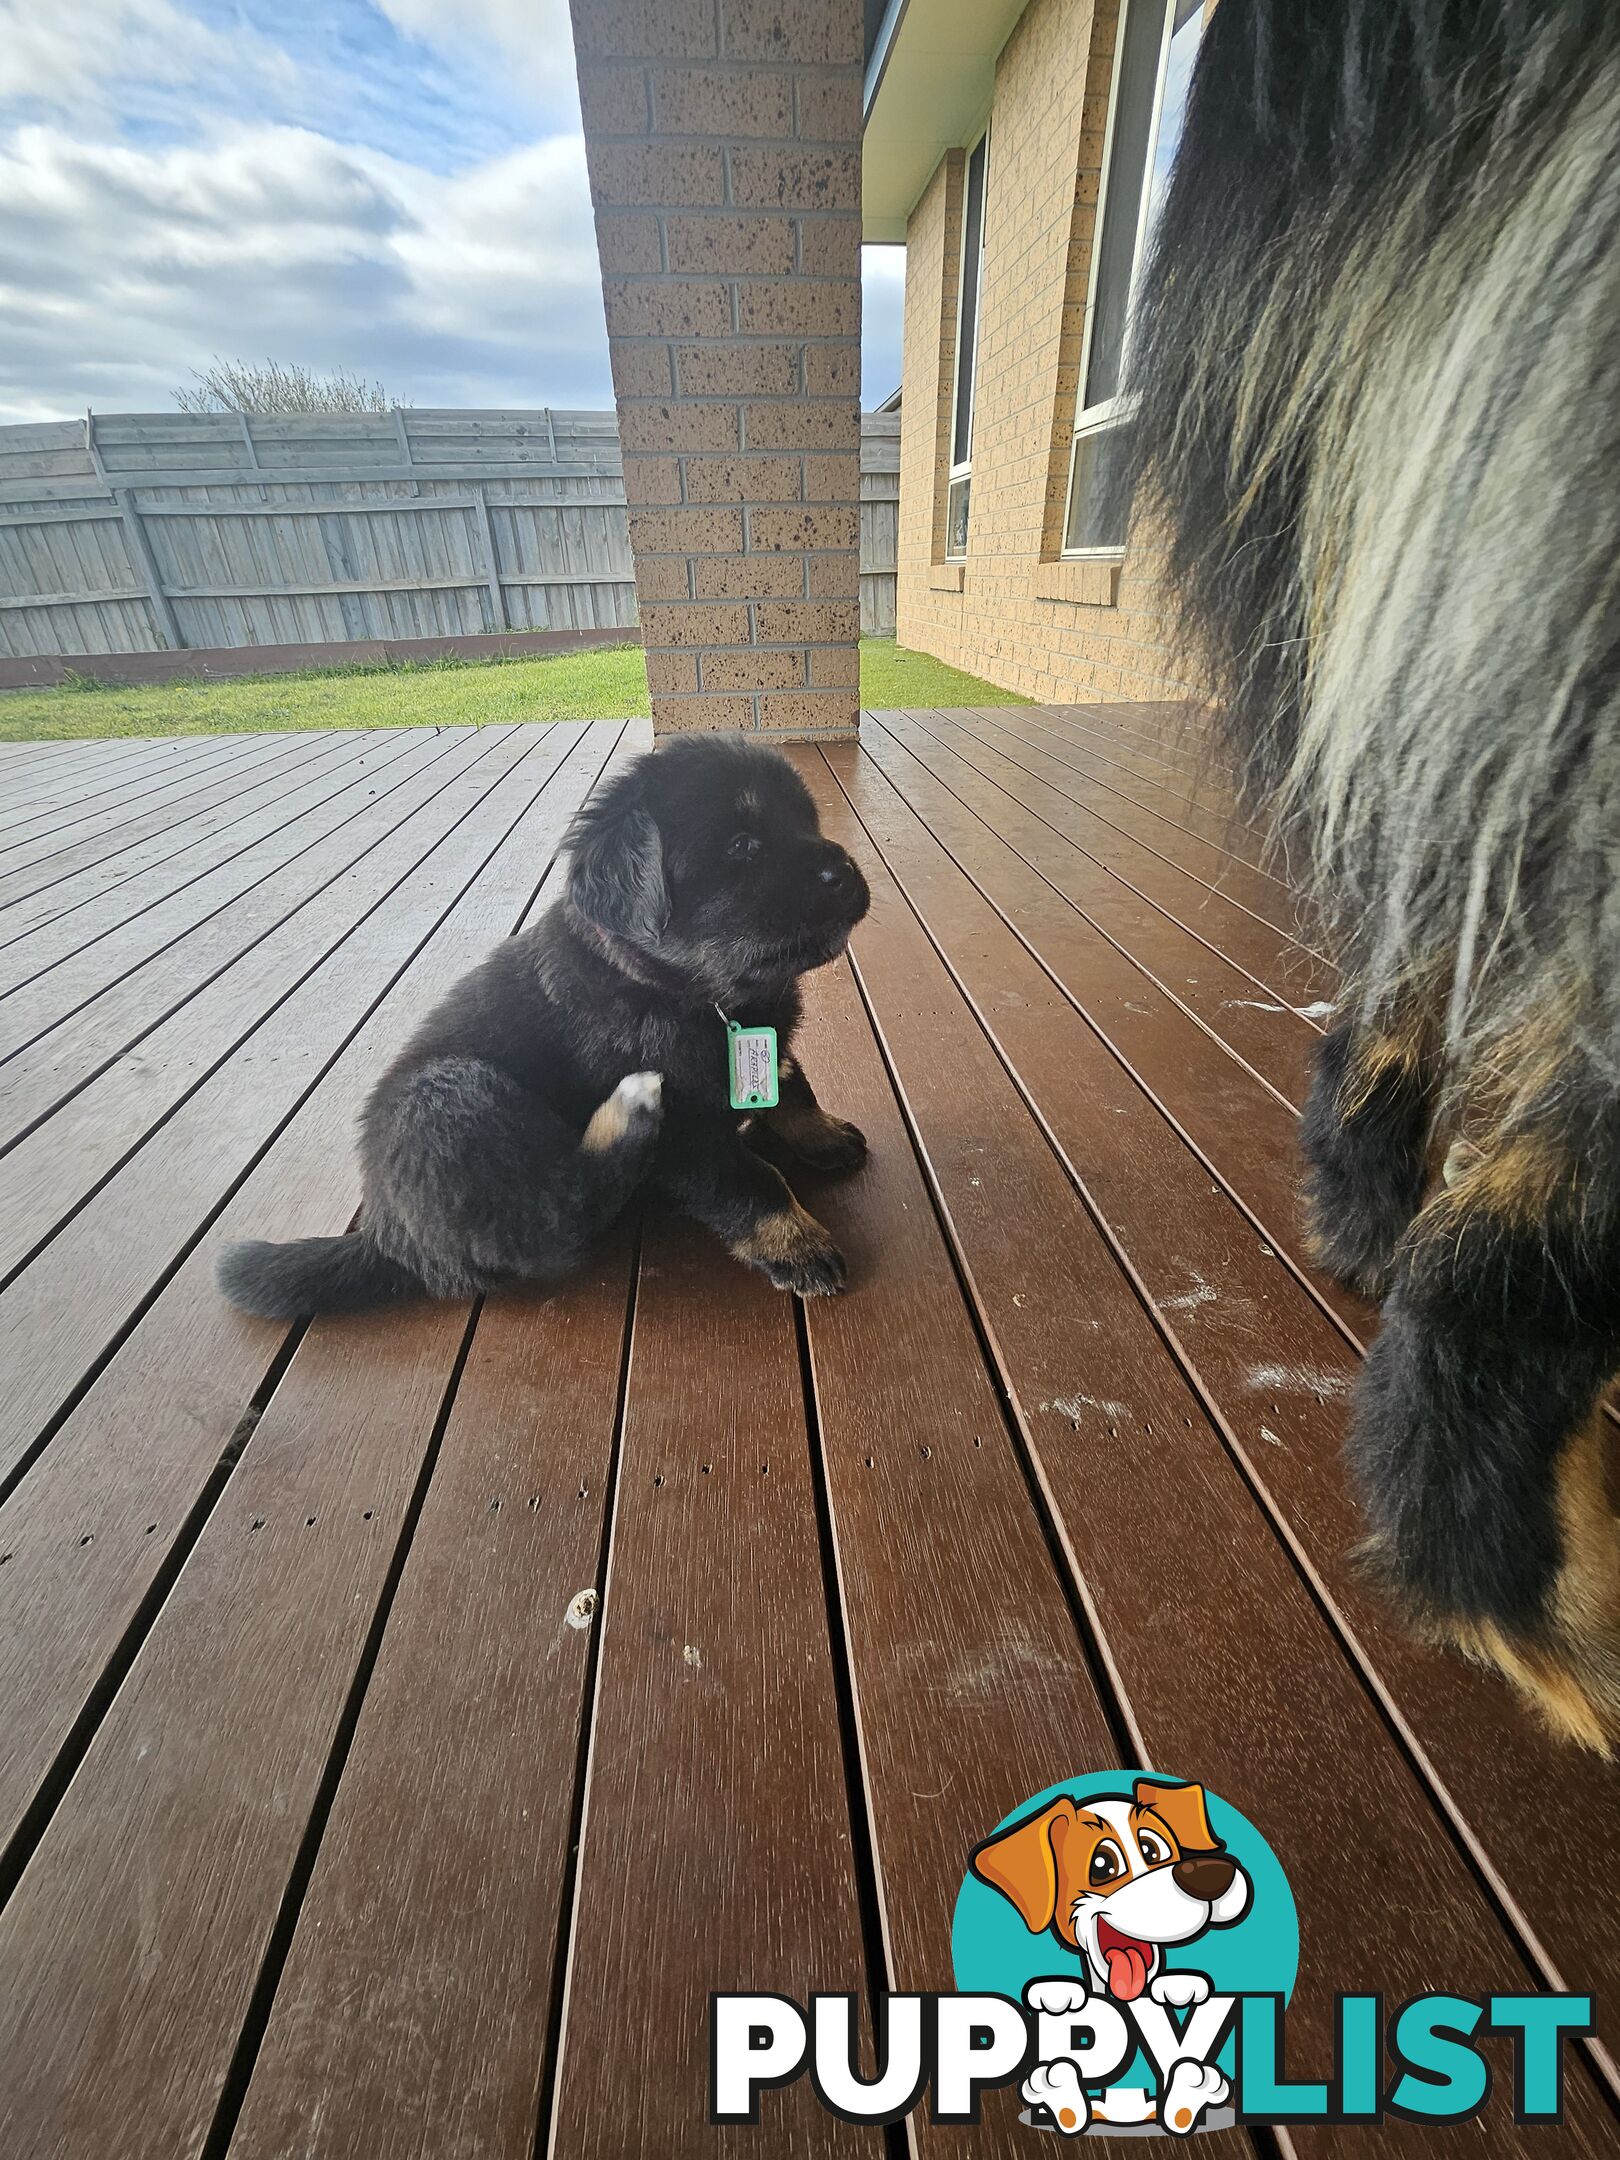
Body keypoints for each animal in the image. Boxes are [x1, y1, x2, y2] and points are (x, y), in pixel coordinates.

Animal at [220, 738, 876, 1313]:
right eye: (743, 846)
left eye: (808, 823)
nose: (844, 868)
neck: (694, 994)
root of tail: (390, 1238)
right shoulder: (690, 1134)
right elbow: (751, 1182)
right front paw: (798, 1244)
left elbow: (792, 1083)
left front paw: (823, 1133)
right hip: (448, 1096)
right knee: (558, 1222)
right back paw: (630, 1109)